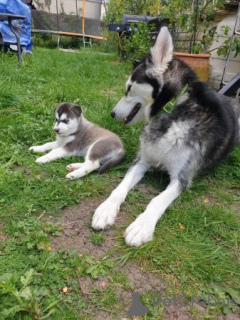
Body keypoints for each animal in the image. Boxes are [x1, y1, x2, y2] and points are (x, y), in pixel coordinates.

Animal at [91, 27, 240, 248]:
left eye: (129, 88)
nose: (112, 113)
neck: (171, 112)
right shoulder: (142, 160)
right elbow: (119, 188)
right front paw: (106, 209)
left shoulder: (182, 178)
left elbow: (157, 200)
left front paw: (141, 226)